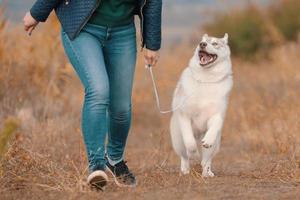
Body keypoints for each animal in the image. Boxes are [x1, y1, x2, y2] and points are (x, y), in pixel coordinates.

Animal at [170, 33, 233, 177]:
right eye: (201, 42)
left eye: (215, 43)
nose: (202, 45)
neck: (206, 80)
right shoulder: (185, 115)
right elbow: (189, 142)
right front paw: (194, 154)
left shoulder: (217, 115)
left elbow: (214, 127)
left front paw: (208, 140)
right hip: (178, 140)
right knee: (184, 156)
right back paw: (185, 170)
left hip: (216, 144)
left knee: (207, 160)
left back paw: (207, 173)